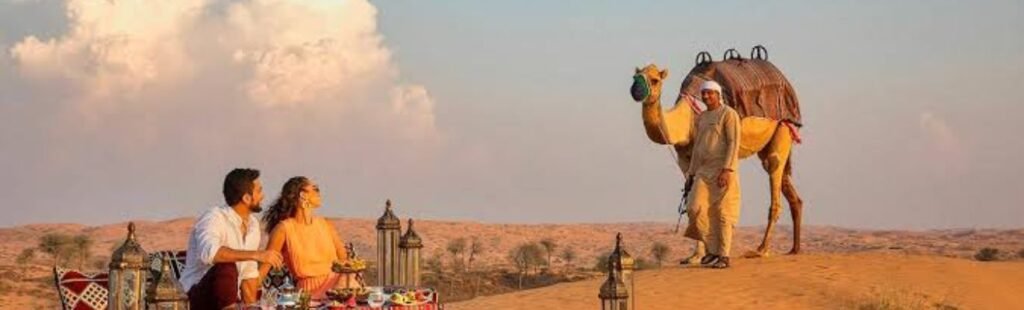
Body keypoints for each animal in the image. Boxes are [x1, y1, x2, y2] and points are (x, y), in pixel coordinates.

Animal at [626, 63, 802, 257]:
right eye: (635, 77)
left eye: (655, 80)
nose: (636, 90)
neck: (686, 121)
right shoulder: (686, 160)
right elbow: (692, 200)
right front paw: (695, 256)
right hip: (768, 145)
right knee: (789, 187)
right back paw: (795, 249)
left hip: (783, 129)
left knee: (774, 169)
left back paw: (761, 250)